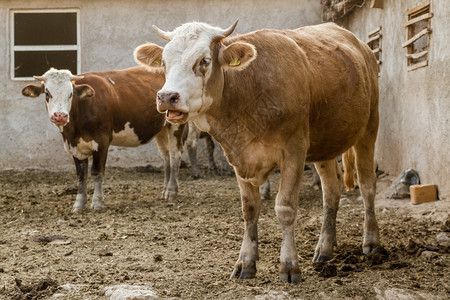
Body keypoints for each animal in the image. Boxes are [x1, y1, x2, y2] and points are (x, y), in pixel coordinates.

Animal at [22, 67, 185, 212]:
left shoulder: (101, 142)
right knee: (166, 157)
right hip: (161, 129)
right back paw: (165, 191)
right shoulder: (74, 146)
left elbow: (97, 171)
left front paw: (97, 202)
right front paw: (79, 204)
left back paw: (171, 191)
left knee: (175, 156)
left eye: (71, 94)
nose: (60, 116)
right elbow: (81, 175)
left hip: (175, 125)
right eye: (47, 93)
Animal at [134, 21, 384, 284]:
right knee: (331, 191)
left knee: (367, 185)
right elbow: (249, 208)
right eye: (164, 61)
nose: (166, 97)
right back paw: (325, 247)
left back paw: (372, 242)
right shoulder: (238, 155)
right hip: (326, 143)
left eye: (204, 60)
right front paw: (246, 262)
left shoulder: (294, 151)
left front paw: (289, 265)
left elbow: (285, 207)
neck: (249, 92)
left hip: (370, 126)